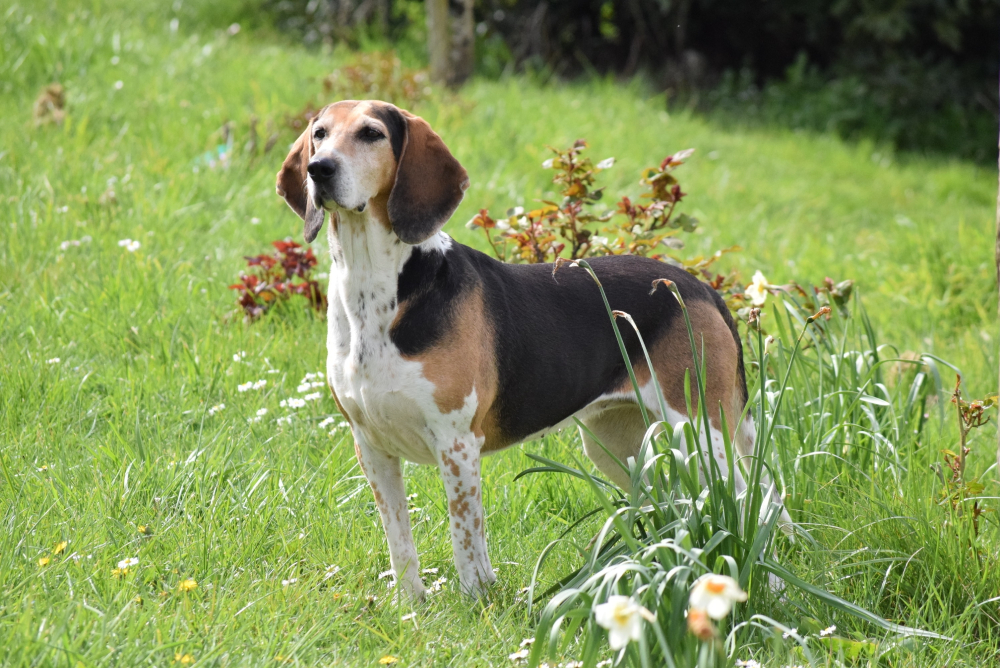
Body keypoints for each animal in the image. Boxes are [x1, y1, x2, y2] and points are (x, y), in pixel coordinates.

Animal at [278, 100, 784, 600]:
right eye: (320, 134)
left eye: (371, 134)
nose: (319, 169)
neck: (374, 284)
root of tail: (699, 287)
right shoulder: (372, 447)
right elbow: (400, 545)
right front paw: (410, 608)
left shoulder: (456, 444)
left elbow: (467, 545)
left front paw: (475, 606)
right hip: (618, 444)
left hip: (702, 431)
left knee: (755, 503)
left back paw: (769, 588)